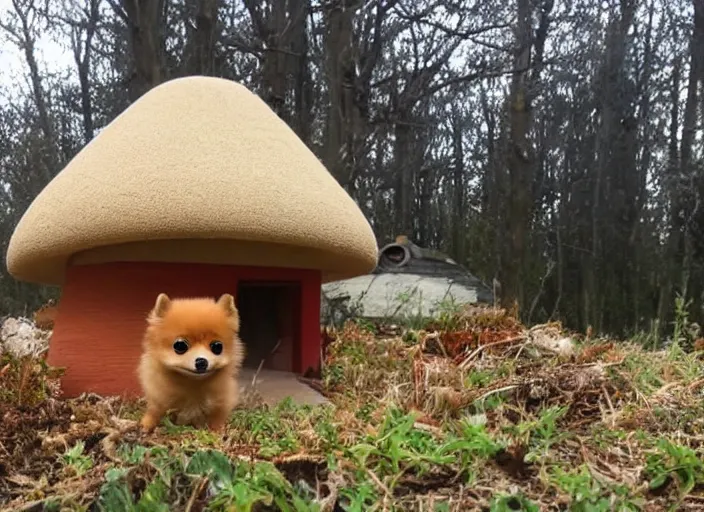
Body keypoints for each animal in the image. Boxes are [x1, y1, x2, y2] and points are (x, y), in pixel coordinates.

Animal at [139, 292, 246, 432]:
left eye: (217, 346)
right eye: (180, 346)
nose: (202, 361)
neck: (192, 384)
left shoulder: (219, 404)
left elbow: (217, 419)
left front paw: (218, 430)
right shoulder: (158, 398)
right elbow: (154, 412)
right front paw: (146, 425)